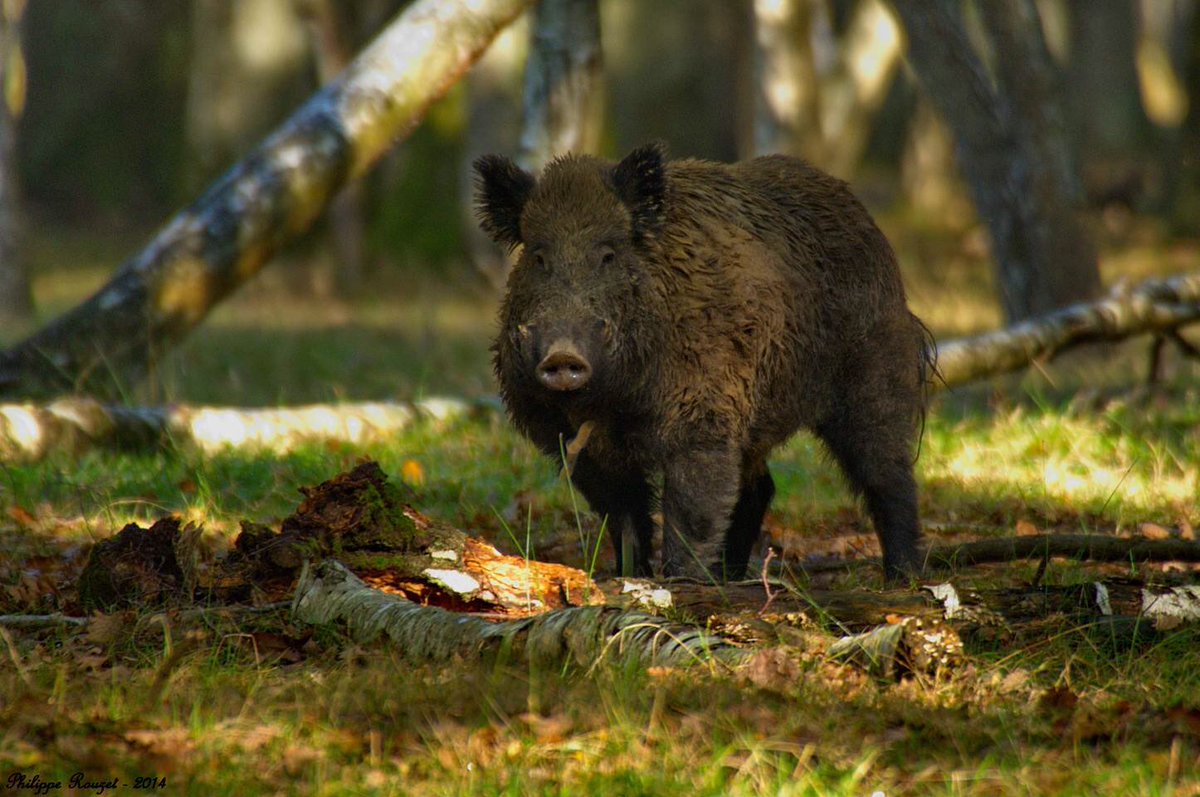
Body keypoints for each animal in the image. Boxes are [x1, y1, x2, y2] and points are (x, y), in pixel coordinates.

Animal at [474, 142, 935, 582]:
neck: (611, 403)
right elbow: (623, 516)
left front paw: (683, 582)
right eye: (538, 257)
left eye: (608, 254)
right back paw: (730, 577)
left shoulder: (702, 418)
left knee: (888, 474)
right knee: (759, 488)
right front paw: (630, 576)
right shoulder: (576, 446)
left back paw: (902, 577)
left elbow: (692, 509)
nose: (563, 355)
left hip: (874, 377)